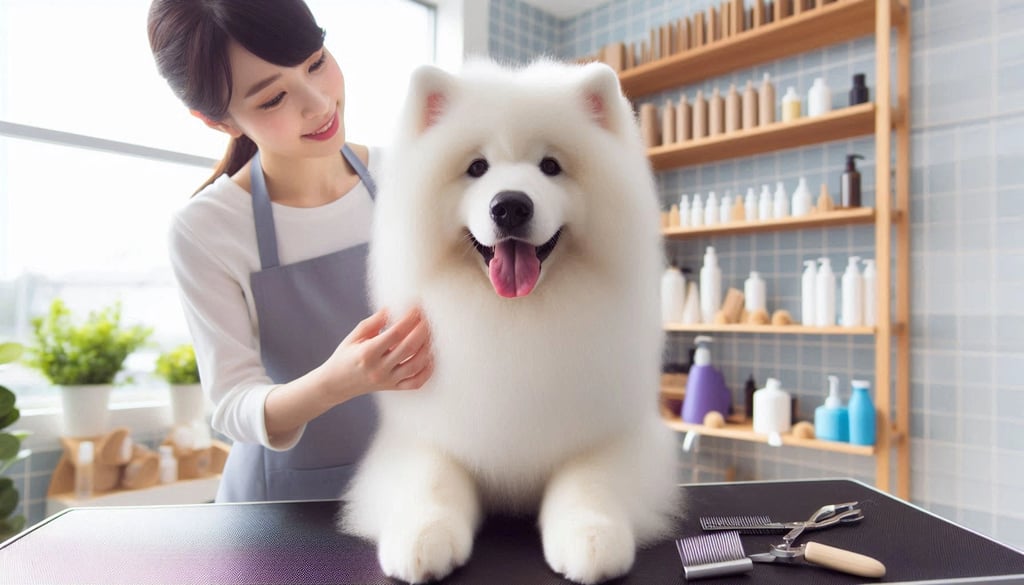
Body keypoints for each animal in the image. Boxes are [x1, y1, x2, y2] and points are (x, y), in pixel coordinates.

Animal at [342, 59, 679, 585]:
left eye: (551, 166)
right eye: (477, 167)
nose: (510, 205)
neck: (515, 318)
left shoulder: (614, 434)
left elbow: (590, 480)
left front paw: (592, 536)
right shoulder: (425, 434)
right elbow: (430, 479)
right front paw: (421, 536)